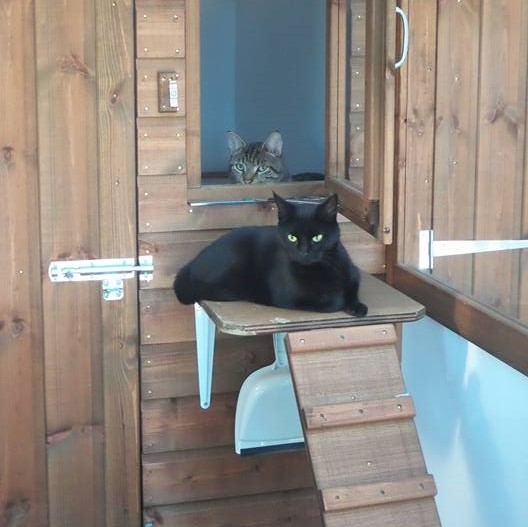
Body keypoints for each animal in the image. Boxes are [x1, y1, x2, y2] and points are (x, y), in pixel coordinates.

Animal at [173, 194, 368, 318]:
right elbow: (332, 301)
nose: (304, 252)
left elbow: (352, 290)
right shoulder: (290, 297)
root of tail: (190, 265)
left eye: (317, 237)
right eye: (292, 237)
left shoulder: (353, 275)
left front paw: (357, 306)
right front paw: (342, 302)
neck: (323, 269)